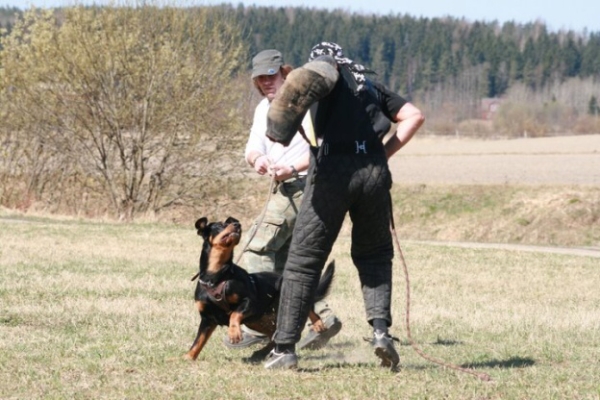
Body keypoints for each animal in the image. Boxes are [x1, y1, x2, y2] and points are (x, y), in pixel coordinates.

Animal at [184, 217, 332, 360]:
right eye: (220, 225)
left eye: (231, 222)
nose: (238, 224)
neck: (215, 277)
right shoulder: (207, 319)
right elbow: (198, 341)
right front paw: (188, 357)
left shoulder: (249, 302)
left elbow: (234, 314)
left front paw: (234, 333)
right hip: (257, 320)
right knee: (274, 335)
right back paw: (260, 353)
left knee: (306, 306)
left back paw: (318, 323)